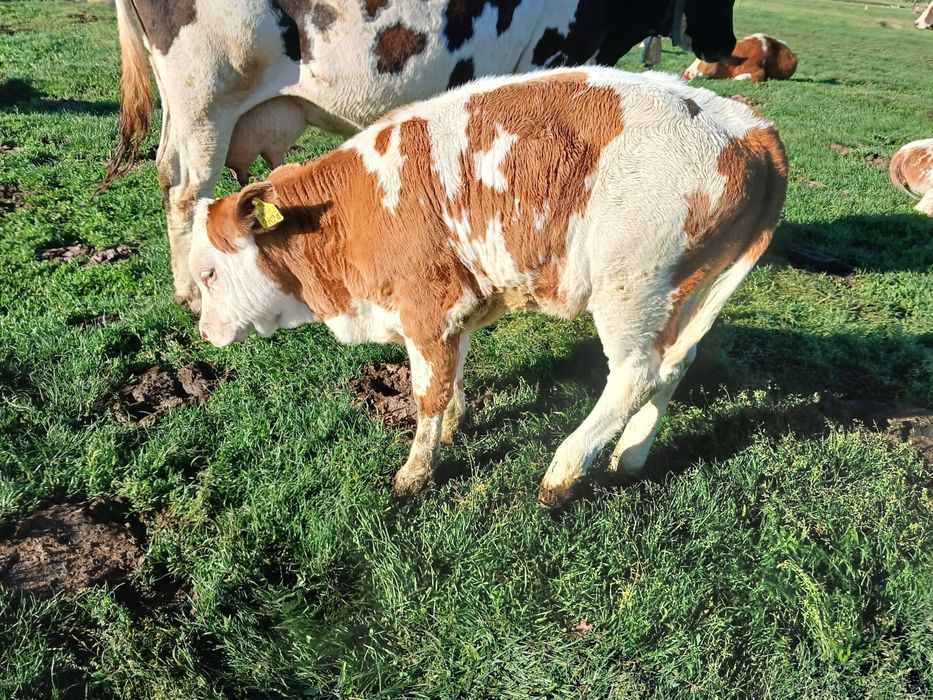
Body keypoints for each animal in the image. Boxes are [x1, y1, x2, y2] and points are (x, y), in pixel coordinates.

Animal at [187, 67, 788, 508]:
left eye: (209, 272)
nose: (203, 330)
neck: (347, 214)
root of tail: (743, 122)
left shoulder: (428, 307)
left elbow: (427, 392)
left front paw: (415, 473)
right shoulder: (457, 307)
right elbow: (452, 376)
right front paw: (454, 427)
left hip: (631, 288)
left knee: (636, 374)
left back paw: (562, 473)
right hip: (687, 289)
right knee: (675, 365)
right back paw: (631, 455)